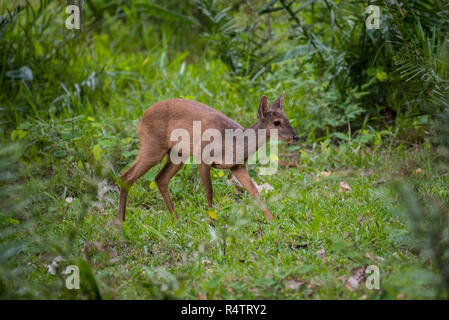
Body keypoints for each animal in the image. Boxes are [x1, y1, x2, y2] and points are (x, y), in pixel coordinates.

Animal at [117, 93, 296, 225]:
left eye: (287, 119)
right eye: (277, 122)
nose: (295, 136)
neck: (234, 143)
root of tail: (142, 116)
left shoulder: (237, 166)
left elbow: (254, 191)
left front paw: (272, 220)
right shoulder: (204, 157)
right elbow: (209, 191)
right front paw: (211, 222)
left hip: (177, 154)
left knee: (160, 178)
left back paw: (176, 220)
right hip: (153, 145)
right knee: (126, 175)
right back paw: (120, 221)